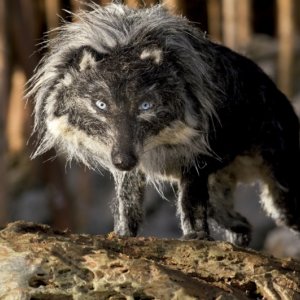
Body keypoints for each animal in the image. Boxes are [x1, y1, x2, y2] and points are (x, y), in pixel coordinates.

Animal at [26, 2, 300, 246]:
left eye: (145, 105)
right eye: (100, 104)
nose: (124, 160)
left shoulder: (195, 164)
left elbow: (190, 205)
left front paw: (196, 238)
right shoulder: (132, 172)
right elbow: (127, 206)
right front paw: (122, 236)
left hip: (282, 197)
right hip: (223, 195)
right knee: (242, 224)